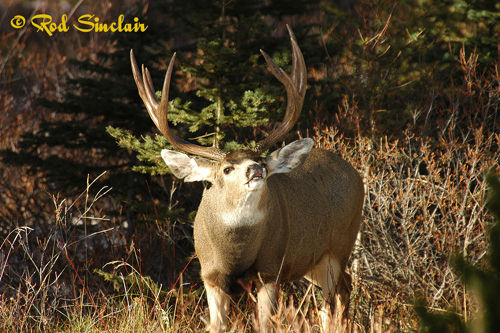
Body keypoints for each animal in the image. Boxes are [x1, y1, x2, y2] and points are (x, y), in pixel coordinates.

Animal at [129, 26, 364, 332]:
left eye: (262, 161)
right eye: (227, 169)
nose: (256, 169)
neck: (235, 254)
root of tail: (355, 174)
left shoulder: (270, 269)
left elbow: (265, 324)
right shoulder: (210, 275)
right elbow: (217, 326)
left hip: (339, 246)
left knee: (337, 298)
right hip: (314, 261)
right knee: (337, 295)